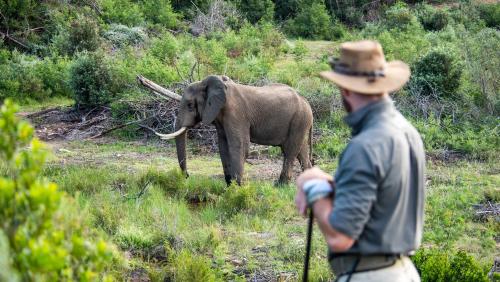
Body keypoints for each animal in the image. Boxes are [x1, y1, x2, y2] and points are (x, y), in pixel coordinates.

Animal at [157, 75, 312, 185]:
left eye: (190, 105)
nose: (187, 176)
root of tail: (306, 101)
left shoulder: (236, 114)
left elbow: (239, 145)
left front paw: (236, 187)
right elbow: (223, 146)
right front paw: (229, 185)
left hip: (299, 119)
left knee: (289, 151)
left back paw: (280, 185)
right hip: (300, 122)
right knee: (301, 151)